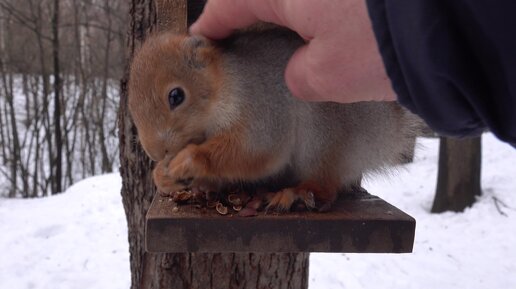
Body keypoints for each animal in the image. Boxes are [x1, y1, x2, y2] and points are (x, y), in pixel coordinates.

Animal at [128, 25, 420, 210]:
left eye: (176, 96)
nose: (155, 152)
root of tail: (388, 132)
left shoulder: (264, 105)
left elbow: (257, 150)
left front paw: (189, 160)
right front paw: (162, 176)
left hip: (324, 134)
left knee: (326, 184)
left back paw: (298, 194)